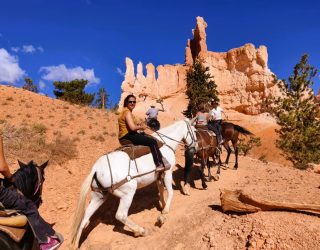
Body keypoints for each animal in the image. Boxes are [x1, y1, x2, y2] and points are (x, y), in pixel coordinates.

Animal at [69, 119, 198, 248]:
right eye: (195, 131)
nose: (196, 148)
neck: (166, 143)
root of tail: (96, 169)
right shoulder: (167, 172)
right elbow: (170, 193)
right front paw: (163, 215)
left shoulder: (158, 176)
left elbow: (161, 191)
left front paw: (163, 206)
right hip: (128, 193)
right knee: (121, 215)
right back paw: (141, 231)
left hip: (99, 196)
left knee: (84, 219)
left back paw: (75, 245)